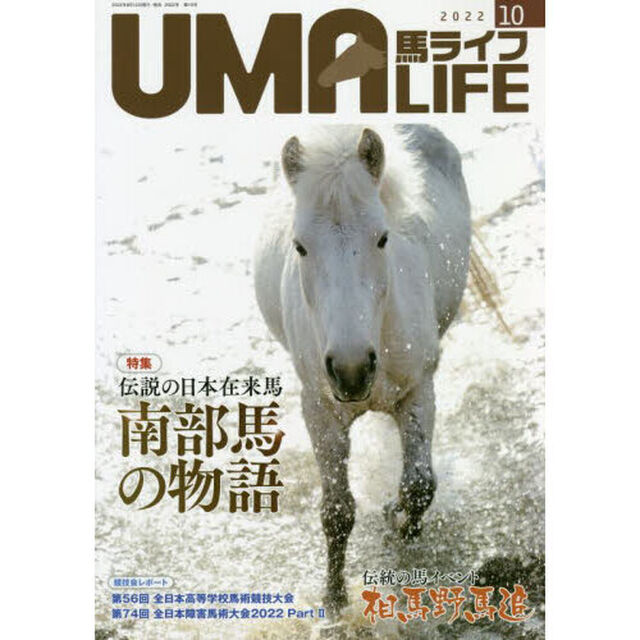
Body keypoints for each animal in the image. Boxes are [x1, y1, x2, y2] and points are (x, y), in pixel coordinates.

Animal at [254, 124, 471, 615]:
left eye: (382, 238)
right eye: (300, 246)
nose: (351, 369)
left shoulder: (418, 392)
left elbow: (419, 486)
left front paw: (398, 527)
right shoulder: (320, 410)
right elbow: (337, 512)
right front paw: (334, 600)